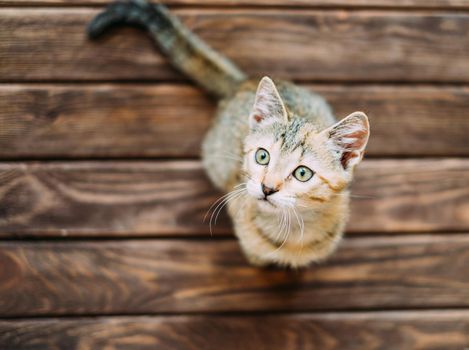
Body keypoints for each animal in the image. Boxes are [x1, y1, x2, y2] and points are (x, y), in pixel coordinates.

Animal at [86, 0, 368, 268]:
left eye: (302, 173)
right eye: (262, 156)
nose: (267, 188)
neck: (293, 231)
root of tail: (242, 84)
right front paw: (257, 258)